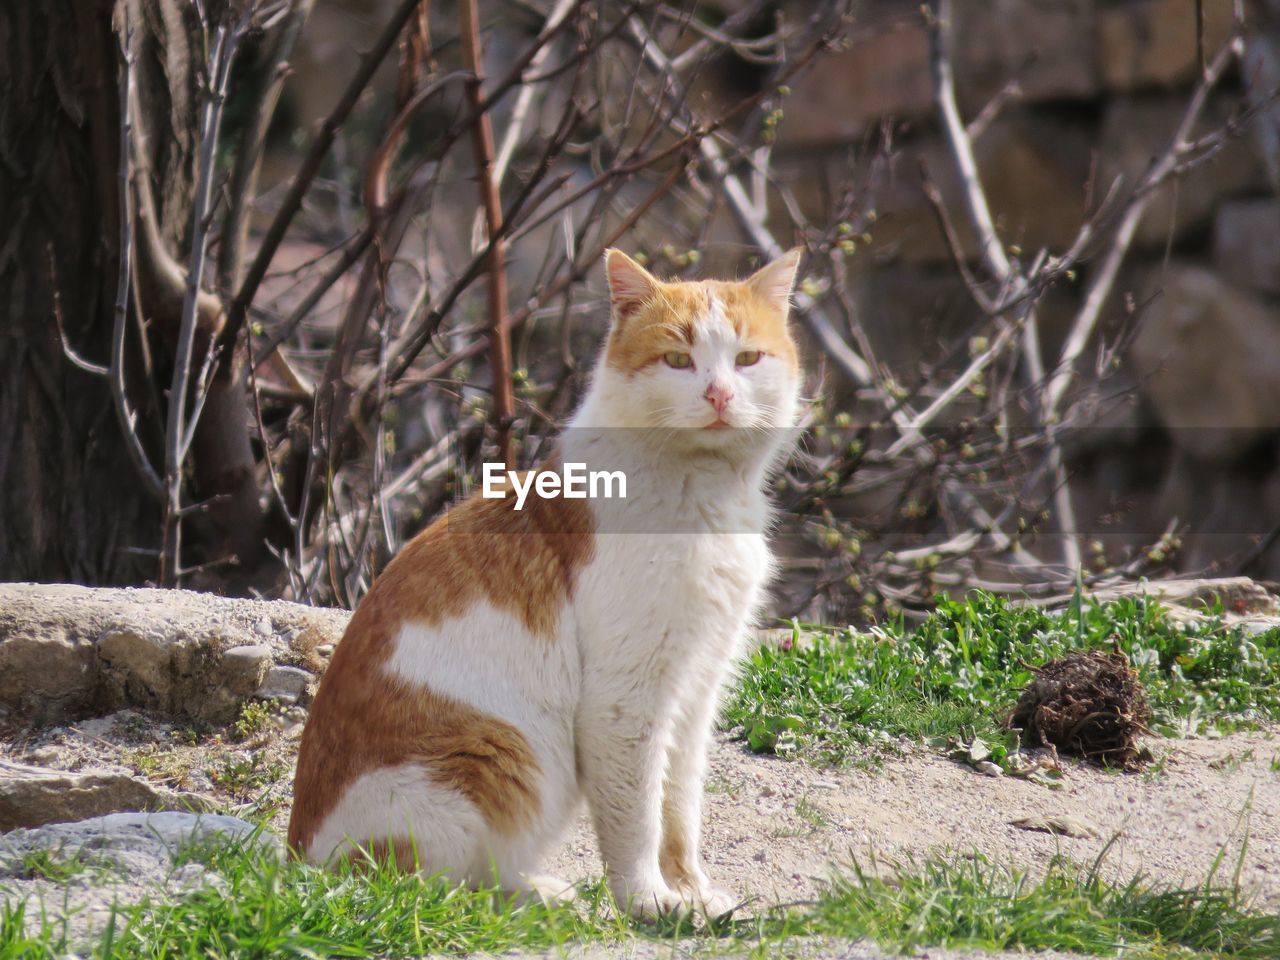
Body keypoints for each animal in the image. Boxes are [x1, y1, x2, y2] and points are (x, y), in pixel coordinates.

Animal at [288, 244, 798, 921]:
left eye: (746, 359)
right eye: (677, 360)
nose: (718, 394)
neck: (702, 492)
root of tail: (296, 860)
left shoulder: (694, 692)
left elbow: (679, 812)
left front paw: (691, 891)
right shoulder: (625, 700)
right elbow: (637, 819)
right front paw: (648, 901)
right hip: (494, 757)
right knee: (438, 892)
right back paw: (537, 898)